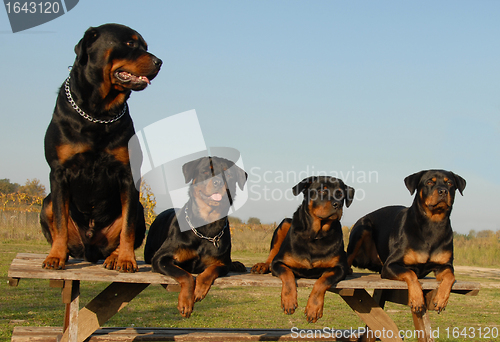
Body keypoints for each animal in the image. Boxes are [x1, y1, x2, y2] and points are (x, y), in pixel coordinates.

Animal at [41, 24, 162, 272]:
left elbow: (127, 227)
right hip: (46, 203)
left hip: (139, 209)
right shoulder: (58, 172)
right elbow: (60, 221)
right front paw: (55, 256)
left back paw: (115, 257)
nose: (159, 62)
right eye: (129, 43)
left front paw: (126, 259)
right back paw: (63, 253)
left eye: (145, 46)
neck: (98, 113)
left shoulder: (127, 174)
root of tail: (90, 251)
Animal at [144, 157, 247, 318]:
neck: (206, 228)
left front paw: (199, 290)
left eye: (229, 174)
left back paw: (237, 264)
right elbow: (184, 274)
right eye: (205, 171)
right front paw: (186, 302)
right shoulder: (160, 259)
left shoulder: (222, 263)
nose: (218, 182)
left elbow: (210, 271)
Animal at [252, 176, 354, 324]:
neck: (316, 235)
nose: (337, 205)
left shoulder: (339, 268)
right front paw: (289, 301)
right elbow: (287, 274)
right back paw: (262, 266)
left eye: (340, 194)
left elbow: (322, 281)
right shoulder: (279, 262)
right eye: (321, 191)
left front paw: (313, 308)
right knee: (271, 255)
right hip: (285, 223)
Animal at [346, 170, 466, 314]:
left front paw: (441, 299)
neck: (432, 224)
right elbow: (410, 273)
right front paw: (417, 299)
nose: (443, 191)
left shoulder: (444, 265)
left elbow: (450, 276)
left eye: (450, 183)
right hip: (362, 228)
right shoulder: (390, 265)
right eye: (429, 182)